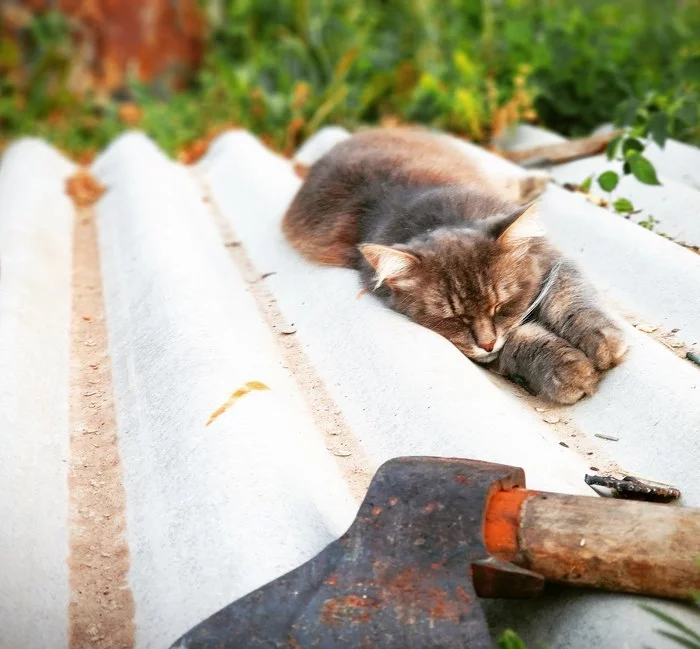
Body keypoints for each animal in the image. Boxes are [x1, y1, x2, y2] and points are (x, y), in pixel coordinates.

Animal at [282, 126, 628, 402]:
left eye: (499, 305)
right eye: (454, 319)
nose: (486, 343)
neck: (439, 218)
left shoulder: (552, 261)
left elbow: (572, 302)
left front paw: (602, 341)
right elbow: (519, 340)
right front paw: (566, 369)